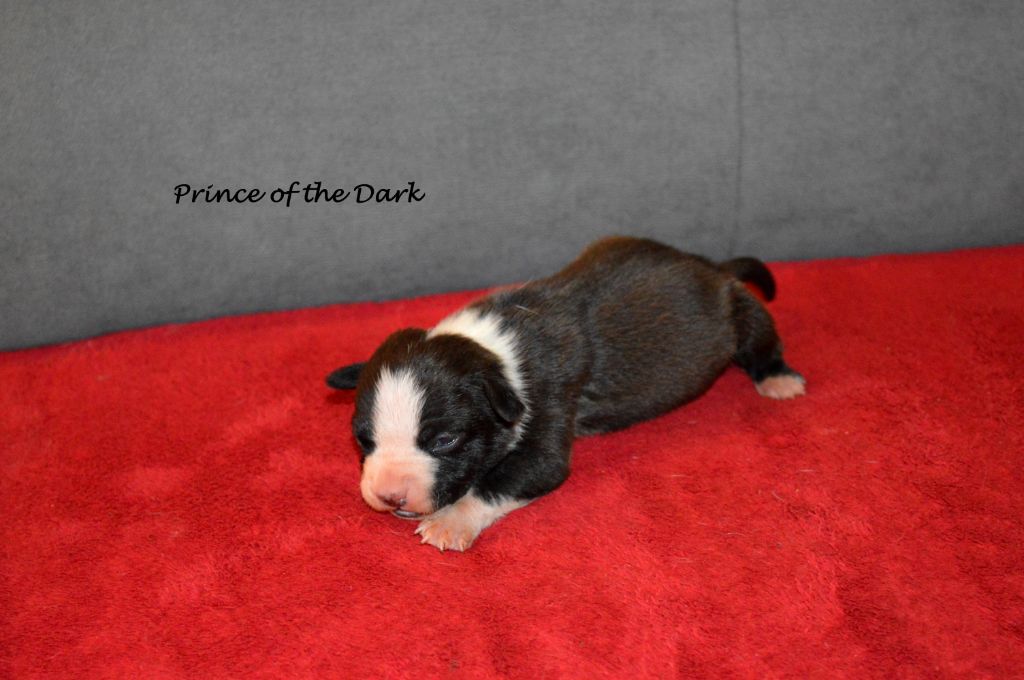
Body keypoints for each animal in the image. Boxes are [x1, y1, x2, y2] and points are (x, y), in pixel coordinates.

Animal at [326, 236, 805, 551]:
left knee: (762, 335)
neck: (492, 352)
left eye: (445, 440)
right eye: (363, 439)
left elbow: (499, 481)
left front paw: (449, 523)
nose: (389, 496)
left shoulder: (547, 409)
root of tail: (712, 266)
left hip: (740, 310)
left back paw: (778, 379)